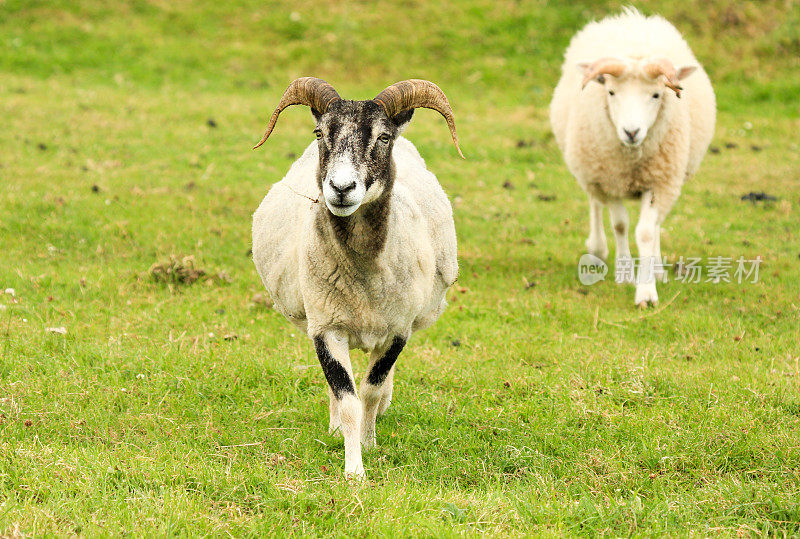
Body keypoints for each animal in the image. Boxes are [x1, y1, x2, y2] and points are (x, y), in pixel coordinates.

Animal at [250, 78, 462, 478]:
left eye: (384, 137)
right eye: (320, 133)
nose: (341, 188)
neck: (365, 276)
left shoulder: (398, 330)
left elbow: (371, 390)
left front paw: (369, 442)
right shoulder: (326, 327)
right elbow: (347, 397)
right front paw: (354, 471)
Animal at [552, 8, 716, 306]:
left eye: (656, 94)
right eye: (611, 92)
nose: (631, 132)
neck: (631, 161)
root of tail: (630, 19)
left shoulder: (660, 181)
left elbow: (647, 231)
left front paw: (647, 288)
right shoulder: (609, 179)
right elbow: (619, 225)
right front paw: (626, 273)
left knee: (656, 222)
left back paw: (658, 268)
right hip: (590, 167)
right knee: (595, 204)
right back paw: (597, 249)